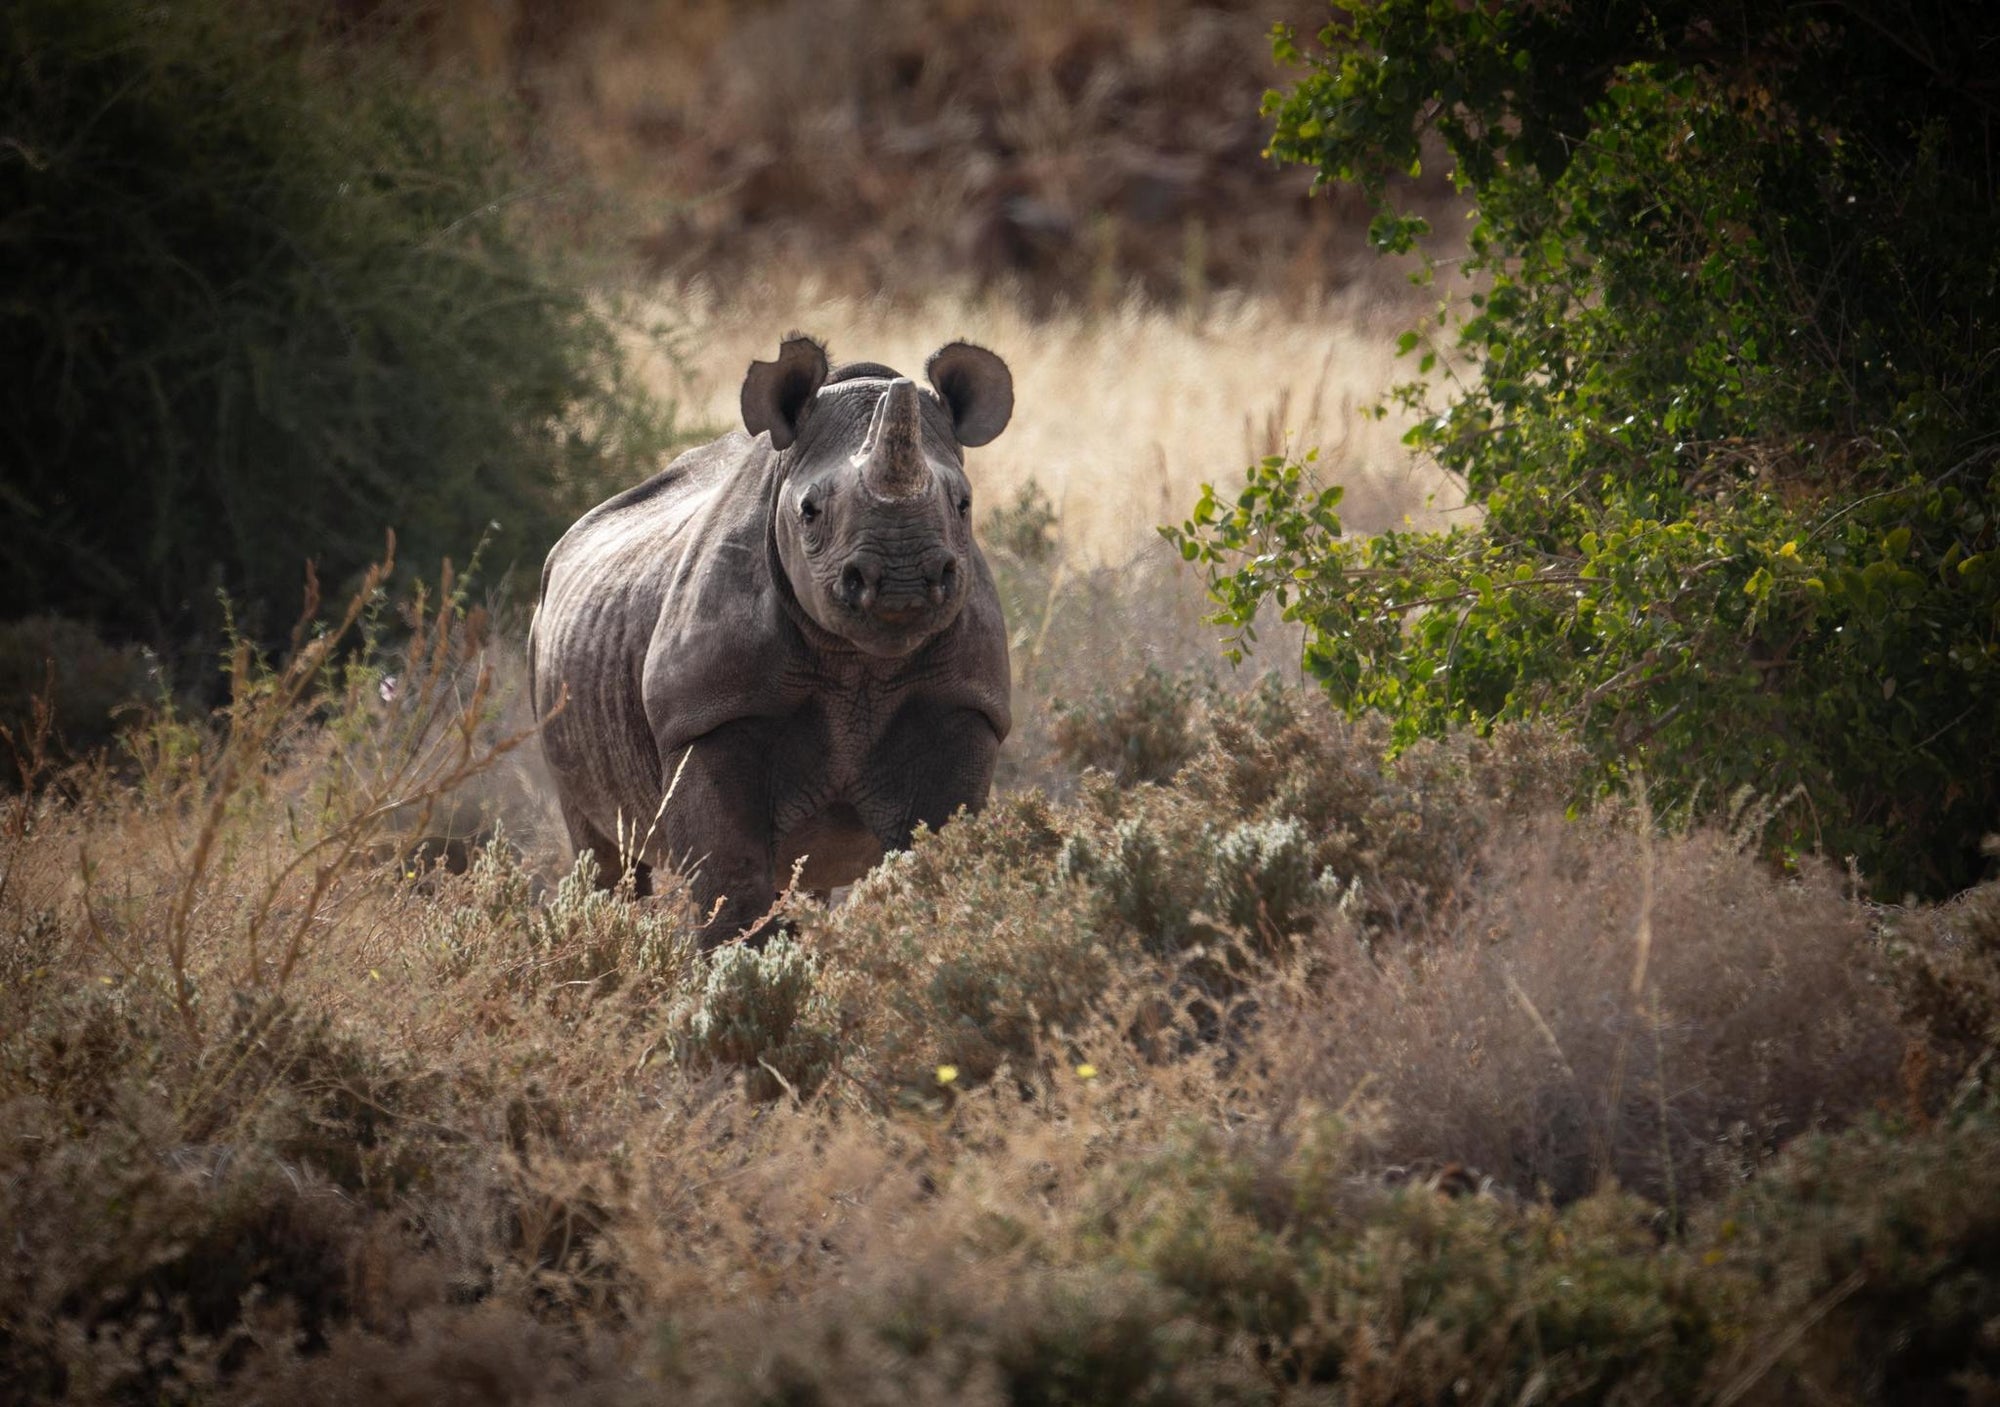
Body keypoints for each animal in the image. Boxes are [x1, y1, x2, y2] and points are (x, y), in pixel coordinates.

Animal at [529, 335, 1014, 944]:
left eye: (964, 505)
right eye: (809, 511)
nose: (903, 581)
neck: (860, 665)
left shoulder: (966, 703)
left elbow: (935, 864)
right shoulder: (707, 715)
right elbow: (732, 884)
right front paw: (739, 963)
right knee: (601, 848)